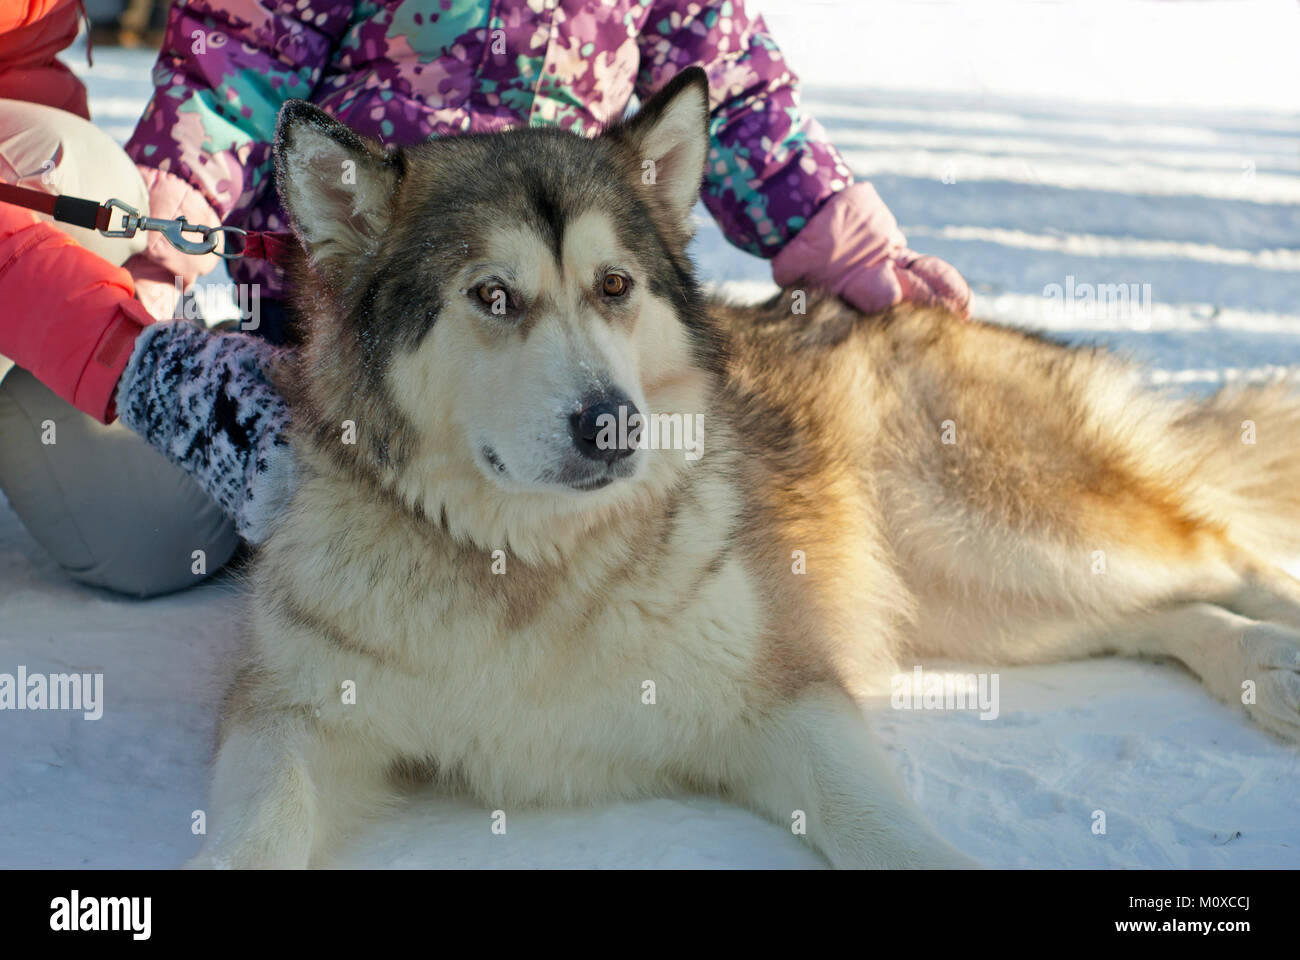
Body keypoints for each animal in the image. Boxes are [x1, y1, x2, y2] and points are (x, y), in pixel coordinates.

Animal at [189, 63, 1300, 863]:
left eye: (615, 286)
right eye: (492, 296)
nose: (614, 425)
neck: (528, 565)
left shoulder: (786, 696)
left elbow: (885, 828)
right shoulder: (288, 719)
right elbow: (251, 835)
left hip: (998, 537)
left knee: (1220, 555)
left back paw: (1271, 652)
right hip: (980, 597)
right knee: (1158, 610)